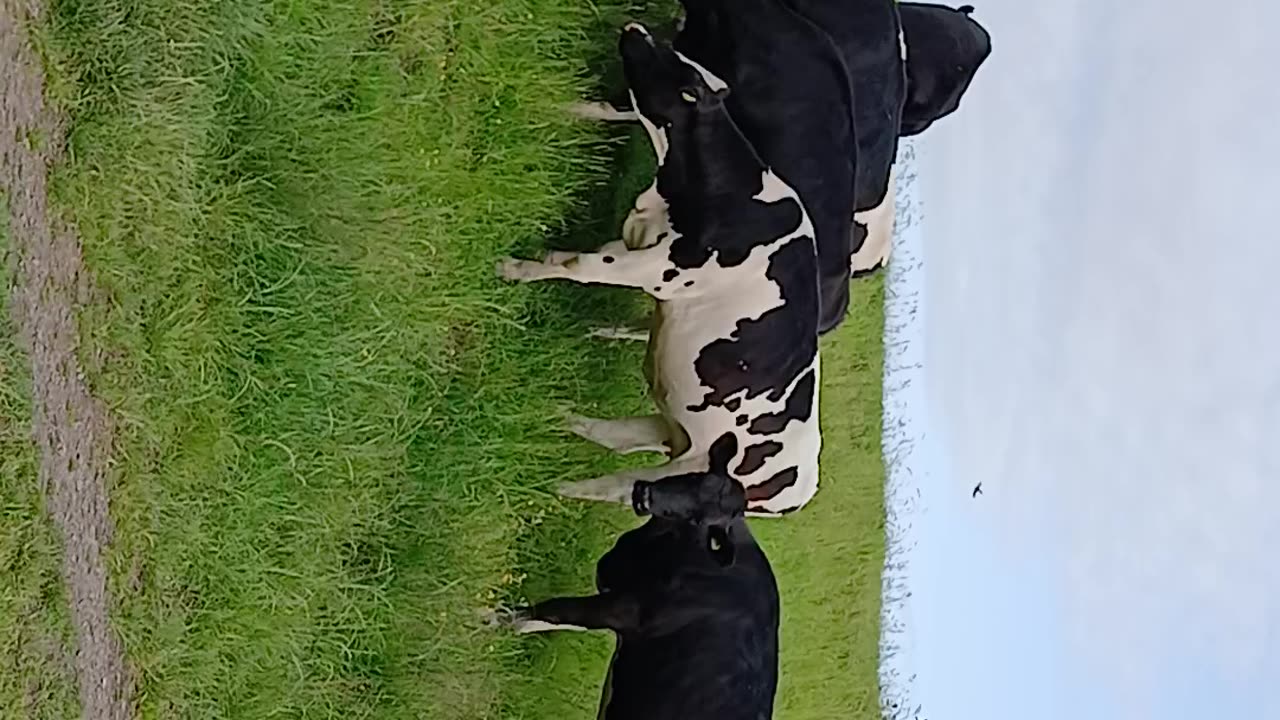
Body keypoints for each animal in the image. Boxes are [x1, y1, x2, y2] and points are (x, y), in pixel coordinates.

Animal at [489, 433, 781, 720]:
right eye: (696, 478)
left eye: (698, 520)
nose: (645, 495)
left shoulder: (624, 609)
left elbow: (555, 610)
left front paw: (490, 619)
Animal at [498, 25, 823, 517]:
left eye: (672, 63)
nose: (636, 28)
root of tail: (801, 489)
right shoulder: (637, 241)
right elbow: (571, 259)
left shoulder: (662, 268)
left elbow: (578, 265)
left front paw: (515, 269)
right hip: (676, 431)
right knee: (615, 438)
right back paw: (555, 417)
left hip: (689, 474)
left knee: (619, 487)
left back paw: (555, 489)